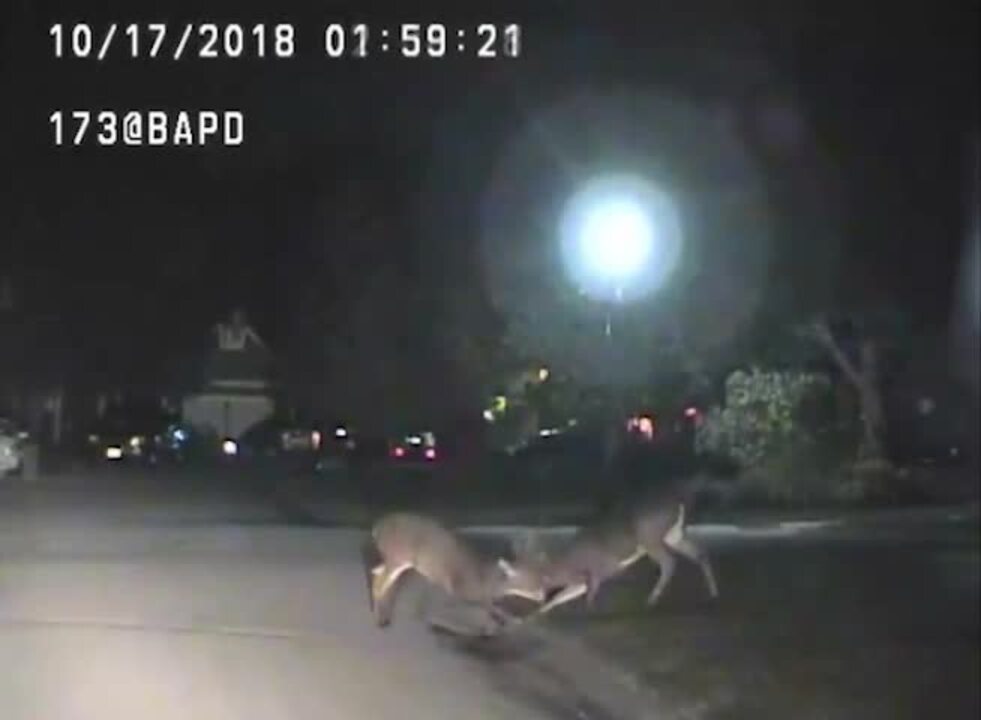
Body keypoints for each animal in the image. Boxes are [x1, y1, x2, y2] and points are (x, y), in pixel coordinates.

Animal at [364, 512, 546, 632]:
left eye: (541, 575)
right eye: (531, 582)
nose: (543, 595)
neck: (484, 580)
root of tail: (376, 527)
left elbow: (494, 608)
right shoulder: (461, 591)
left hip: (397, 560)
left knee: (377, 573)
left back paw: (382, 614)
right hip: (399, 556)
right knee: (380, 581)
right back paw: (379, 619)